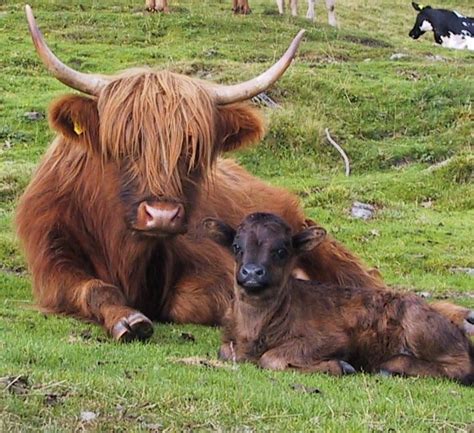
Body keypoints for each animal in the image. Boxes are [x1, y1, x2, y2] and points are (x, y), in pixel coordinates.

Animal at [16, 4, 472, 340]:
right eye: (122, 145)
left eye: (193, 148)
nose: (162, 215)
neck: (127, 247)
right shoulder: (52, 262)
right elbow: (92, 288)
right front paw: (129, 319)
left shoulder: (214, 265)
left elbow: (191, 302)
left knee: (375, 286)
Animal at [205, 211, 474, 384]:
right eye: (237, 247)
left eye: (281, 250)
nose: (252, 272)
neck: (256, 328)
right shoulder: (229, 341)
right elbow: (225, 351)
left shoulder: (333, 340)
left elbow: (270, 359)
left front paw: (340, 366)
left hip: (421, 327)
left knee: (463, 367)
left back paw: (392, 366)